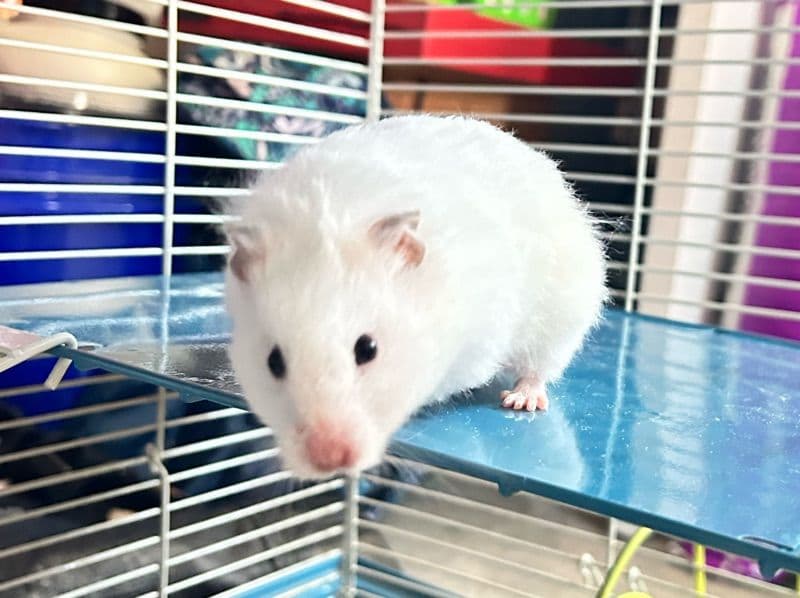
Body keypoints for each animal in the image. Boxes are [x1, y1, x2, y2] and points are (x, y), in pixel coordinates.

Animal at [224, 115, 607, 479]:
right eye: (273, 362)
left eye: (368, 349)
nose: (330, 460)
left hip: (563, 315)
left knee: (542, 366)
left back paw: (520, 400)